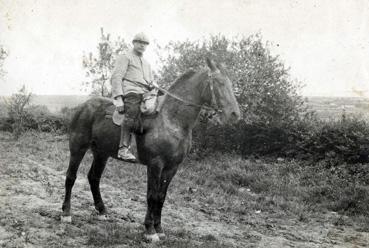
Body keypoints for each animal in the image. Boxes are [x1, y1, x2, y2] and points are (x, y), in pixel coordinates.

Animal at [61, 57, 240, 242]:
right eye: (219, 82)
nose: (234, 114)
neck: (171, 120)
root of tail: (83, 106)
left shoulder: (172, 167)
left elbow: (161, 197)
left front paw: (159, 228)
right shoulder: (155, 164)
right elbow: (151, 195)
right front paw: (150, 230)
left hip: (101, 154)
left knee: (94, 178)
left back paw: (102, 211)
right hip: (78, 147)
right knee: (71, 176)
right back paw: (66, 213)